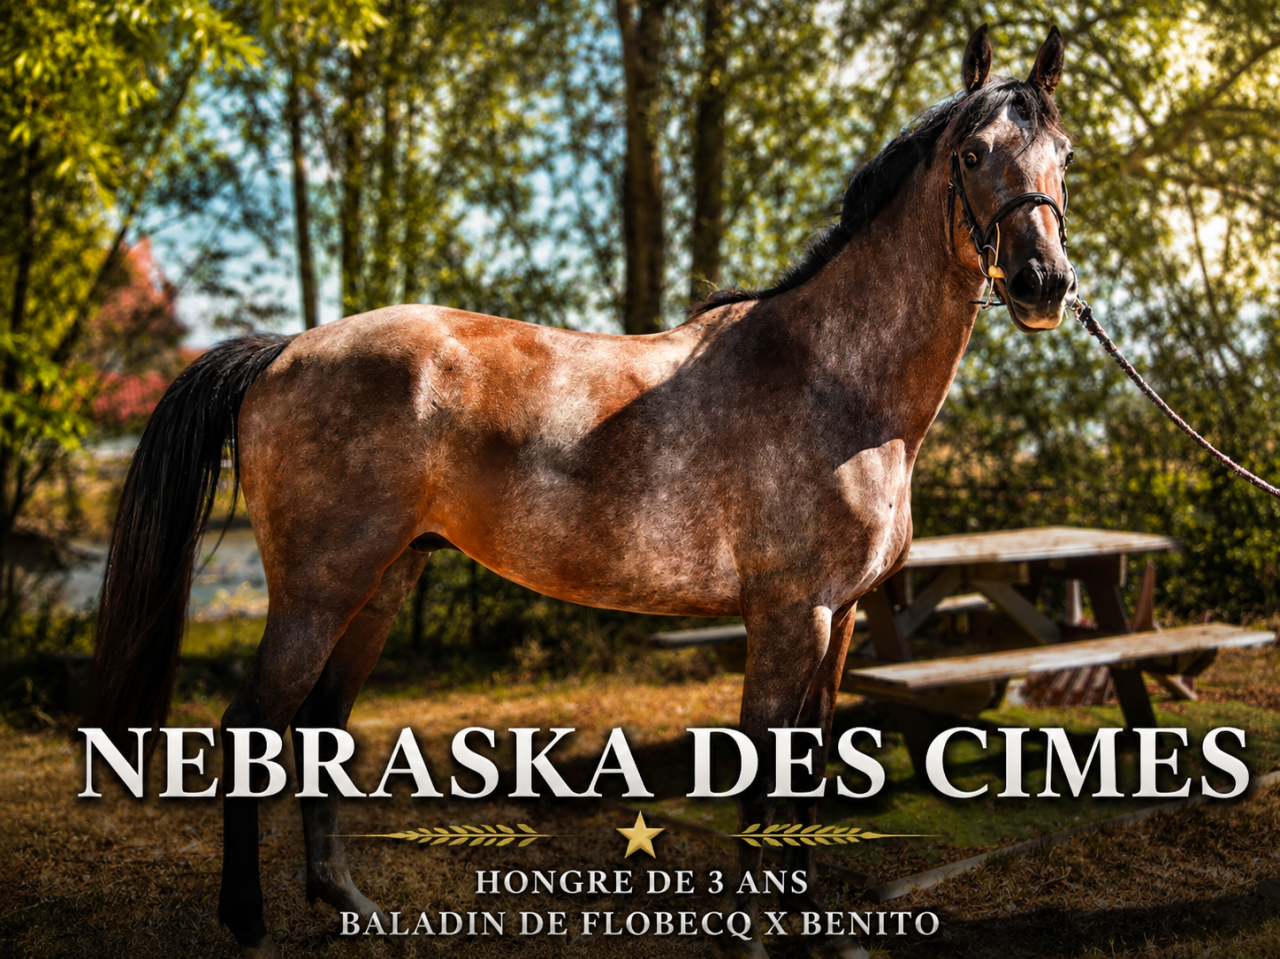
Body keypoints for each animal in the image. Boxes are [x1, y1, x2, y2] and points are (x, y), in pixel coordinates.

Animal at [86, 24, 1075, 959]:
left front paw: (813, 925)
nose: (1044, 283)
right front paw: (754, 930)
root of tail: (283, 350)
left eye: (1062, 154)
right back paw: (248, 921)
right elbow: (761, 775)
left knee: (323, 725)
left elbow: (812, 768)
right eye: (973, 152)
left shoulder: (843, 617)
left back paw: (350, 904)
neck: (836, 378)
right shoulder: (790, 613)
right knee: (251, 723)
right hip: (318, 589)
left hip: (385, 580)